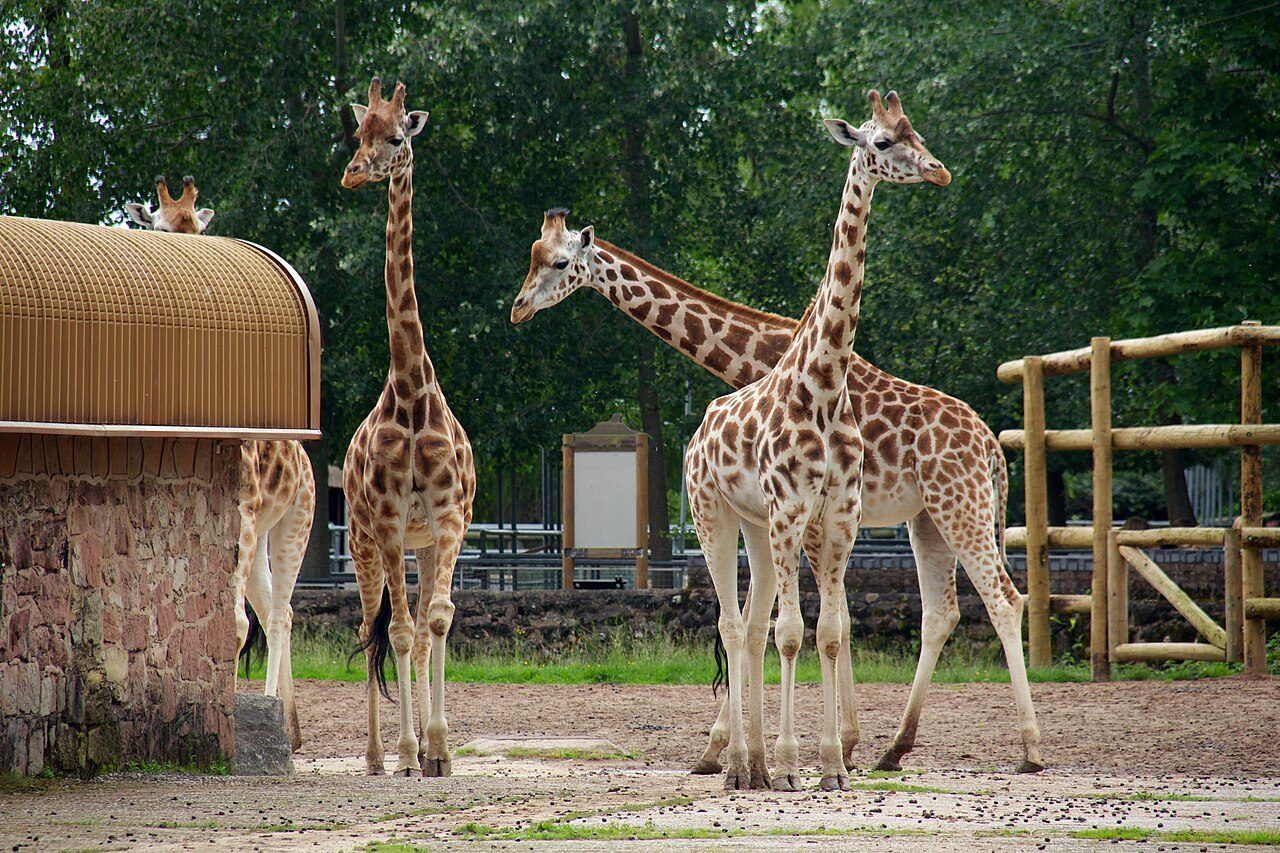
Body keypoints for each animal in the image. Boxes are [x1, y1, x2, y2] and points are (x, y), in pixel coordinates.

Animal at [125, 176, 315, 751]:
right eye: (160, 226)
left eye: (196, 228)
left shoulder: (244, 517)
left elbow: (229, 626)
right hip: (258, 538)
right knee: (272, 608)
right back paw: (290, 729)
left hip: (291, 523)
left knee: (278, 612)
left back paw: (276, 716)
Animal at [511, 99, 1044, 775]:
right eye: (534, 257)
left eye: (558, 263)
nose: (519, 307)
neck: (763, 356)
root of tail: (994, 448)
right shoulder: (799, 514)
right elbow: (800, 619)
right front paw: (808, 746)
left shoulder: (813, 513)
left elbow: (805, 621)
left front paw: (779, 747)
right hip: (928, 520)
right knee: (941, 612)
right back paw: (895, 745)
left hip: (961, 507)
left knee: (1002, 599)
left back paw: (1027, 747)